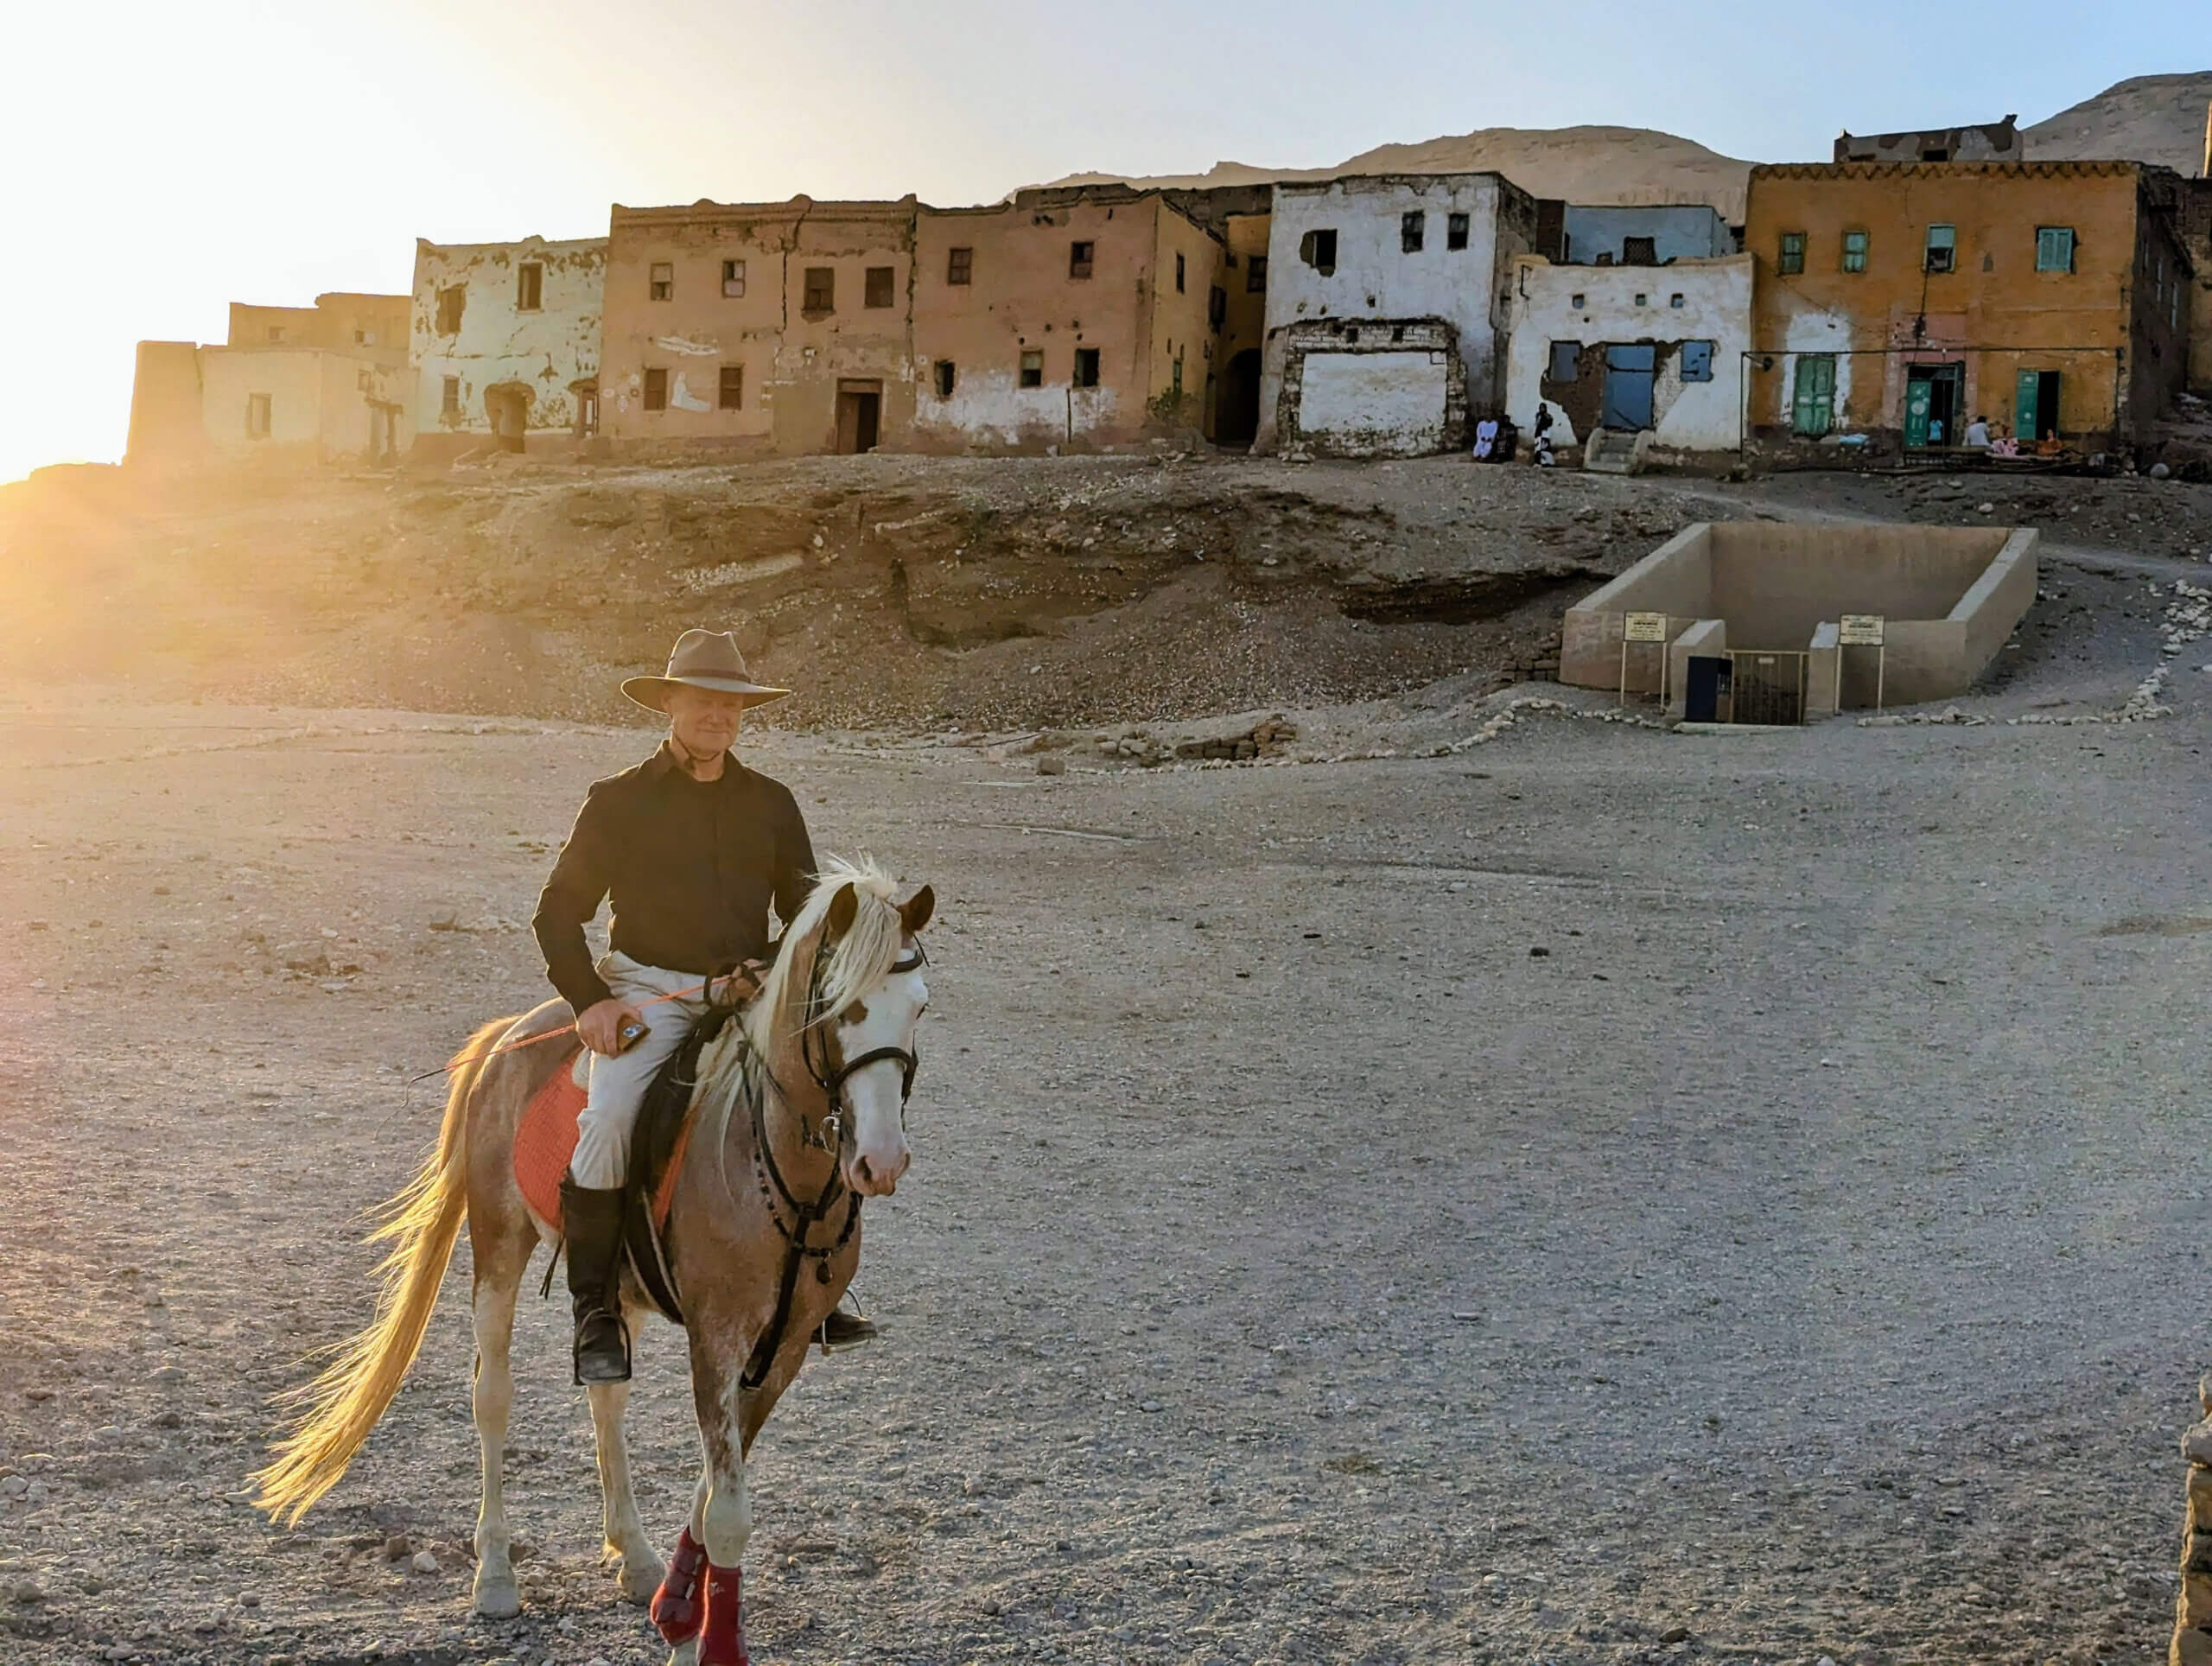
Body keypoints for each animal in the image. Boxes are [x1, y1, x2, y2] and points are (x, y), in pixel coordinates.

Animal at [254, 858, 938, 1663]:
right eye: (838, 1007)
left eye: (918, 1007)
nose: (881, 1162)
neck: (779, 1171)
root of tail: (512, 1034)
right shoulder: (715, 1342)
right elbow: (727, 1510)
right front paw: (697, 1640)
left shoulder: (784, 1349)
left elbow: (710, 1494)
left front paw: (677, 1607)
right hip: (499, 1249)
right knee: (492, 1395)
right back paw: (494, 1573)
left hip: (619, 1289)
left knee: (605, 1396)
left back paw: (634, 1556)